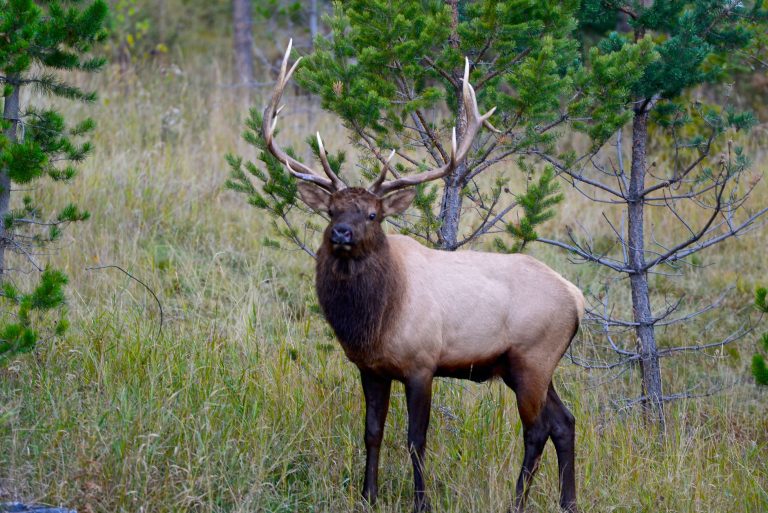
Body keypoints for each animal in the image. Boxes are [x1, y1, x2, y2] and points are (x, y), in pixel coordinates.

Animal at [260, 40, 585, 513]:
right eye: (332, 210)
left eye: (372, 214)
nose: (341, 233)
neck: (375, 320)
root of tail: (578, 299)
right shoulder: (371, 368)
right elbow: (372, 432)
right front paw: (368, 496)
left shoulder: (422, 362)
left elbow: (416, 441)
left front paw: (421, 502)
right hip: (524, 364)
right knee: (565, 421)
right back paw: (568, 501)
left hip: (533, 356)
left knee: (537, 429)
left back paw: (517, 502)